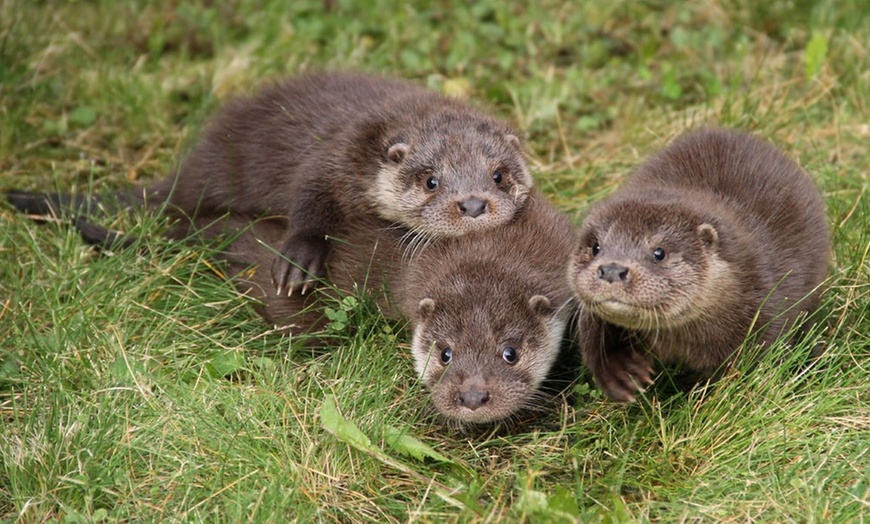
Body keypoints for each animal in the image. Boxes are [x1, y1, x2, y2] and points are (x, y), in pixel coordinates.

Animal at [8, 71, 532, 296]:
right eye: (430, 181)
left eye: (499, 175)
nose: (472, 205)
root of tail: (189, 170)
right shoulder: (335, 154)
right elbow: (308, 198)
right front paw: (299, 259)